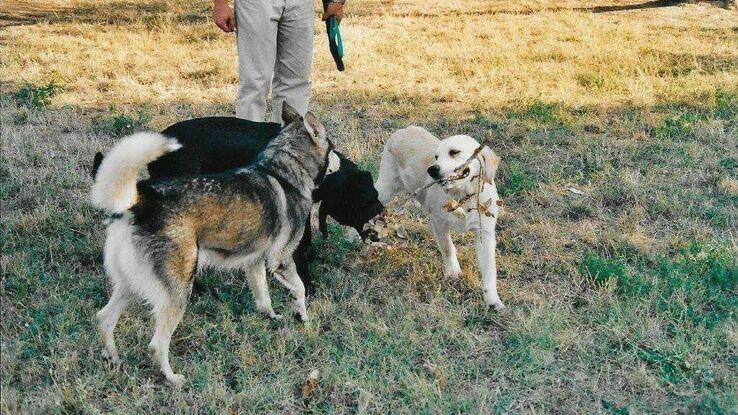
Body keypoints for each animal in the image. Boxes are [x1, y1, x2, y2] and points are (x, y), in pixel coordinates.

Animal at [376, 125, 504, 310]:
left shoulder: (484, 232)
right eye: (436, 157)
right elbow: (447, 247)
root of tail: (404, 129)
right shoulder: (439, 222)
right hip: (386, 189)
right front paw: (453, 272)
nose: (432, 170)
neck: (462, 197)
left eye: (454, 152)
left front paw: (492, 299)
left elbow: (489, 269)